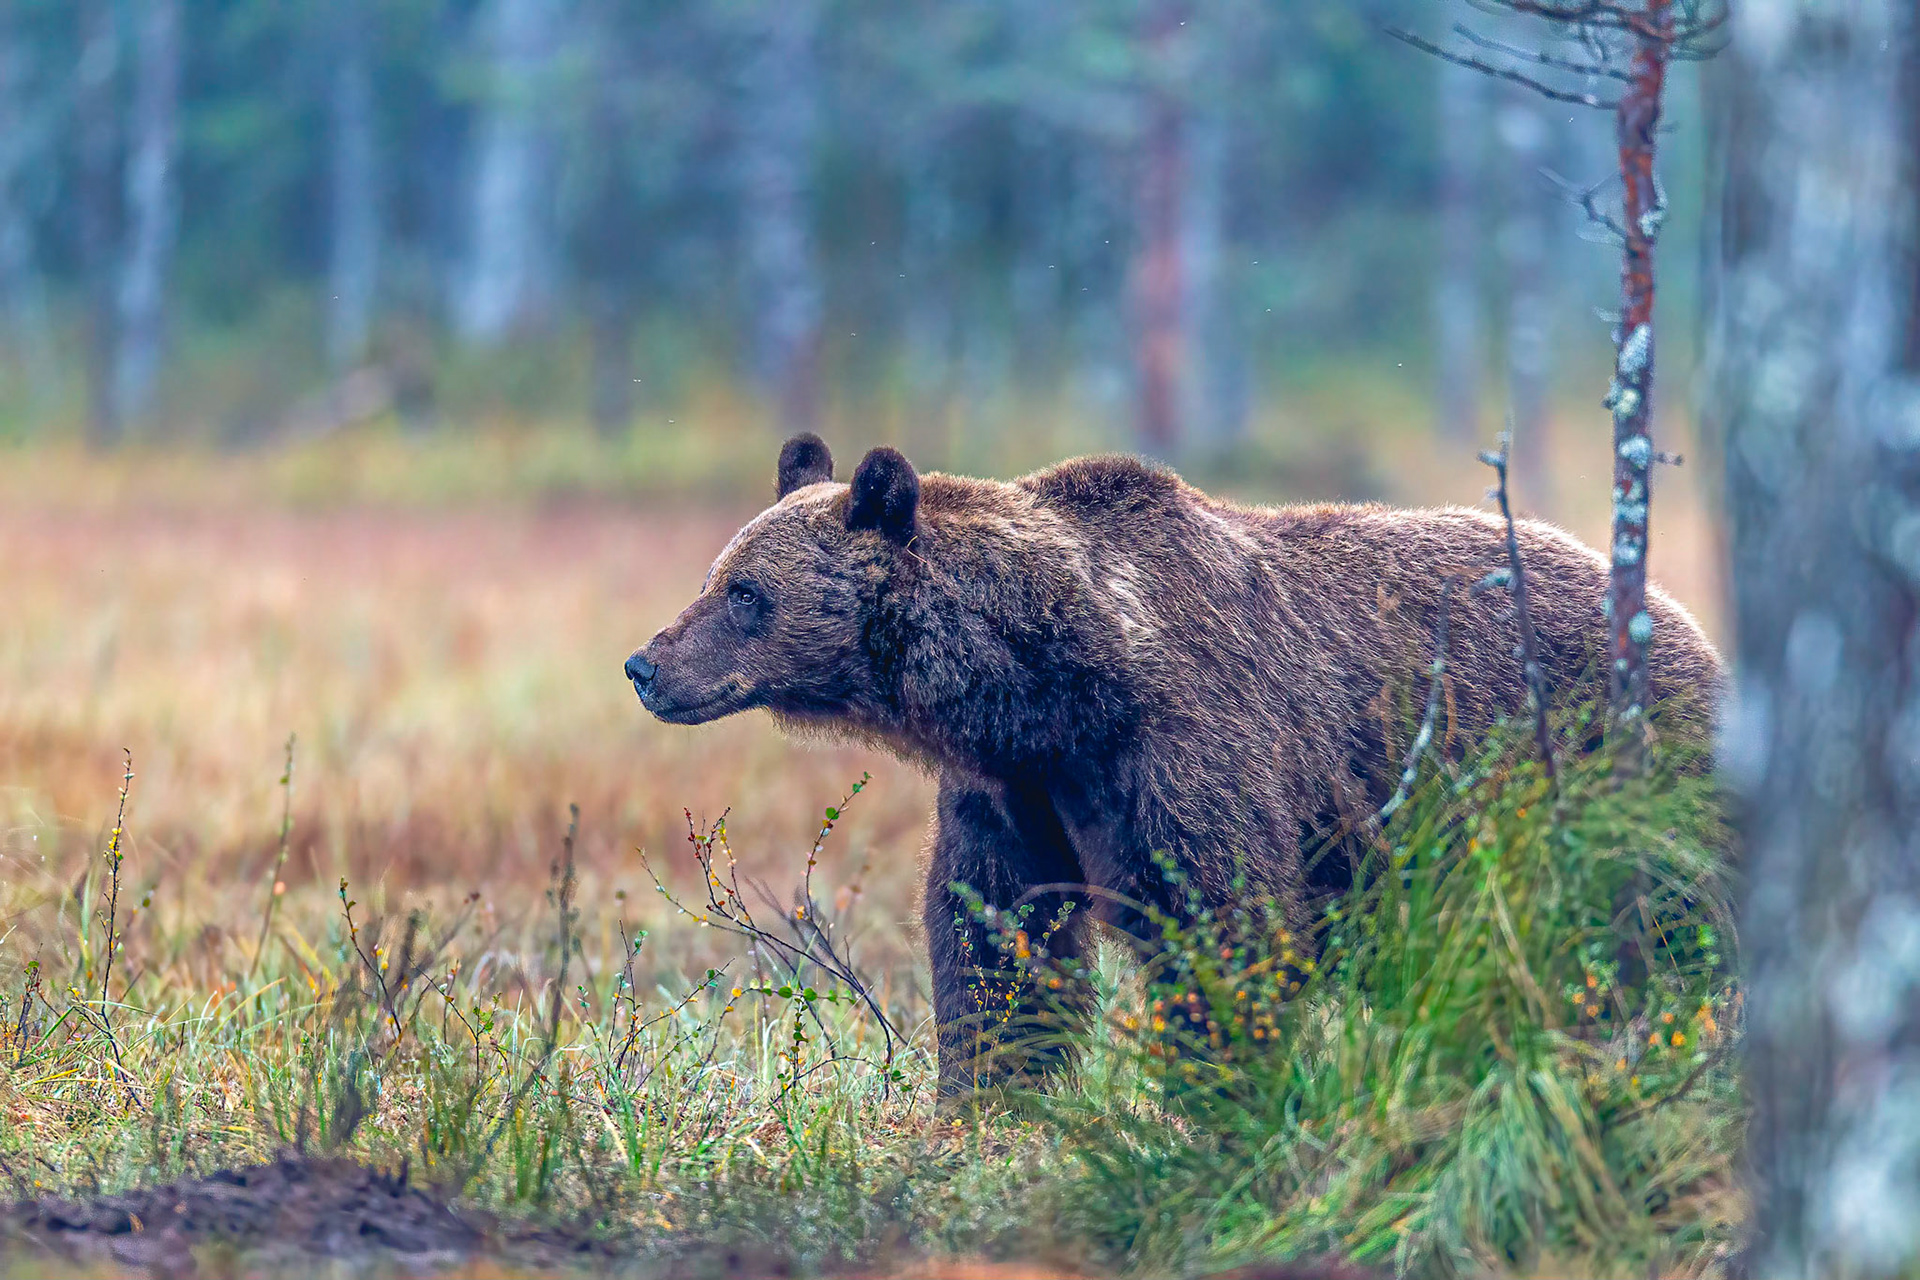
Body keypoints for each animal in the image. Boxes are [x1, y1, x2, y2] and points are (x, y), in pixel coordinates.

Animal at [625, 434, 1723, 1096]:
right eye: (715, 576)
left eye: (746, 593)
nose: (646, 664)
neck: (1056, 686)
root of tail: (1676, 614)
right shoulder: (1015, 795)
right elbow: (994, 944)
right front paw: (987, 1100)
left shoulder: (1187, 753)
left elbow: (1224, 929)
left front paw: (1222, 1098)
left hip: (1619, 764)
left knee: (1681, 921)